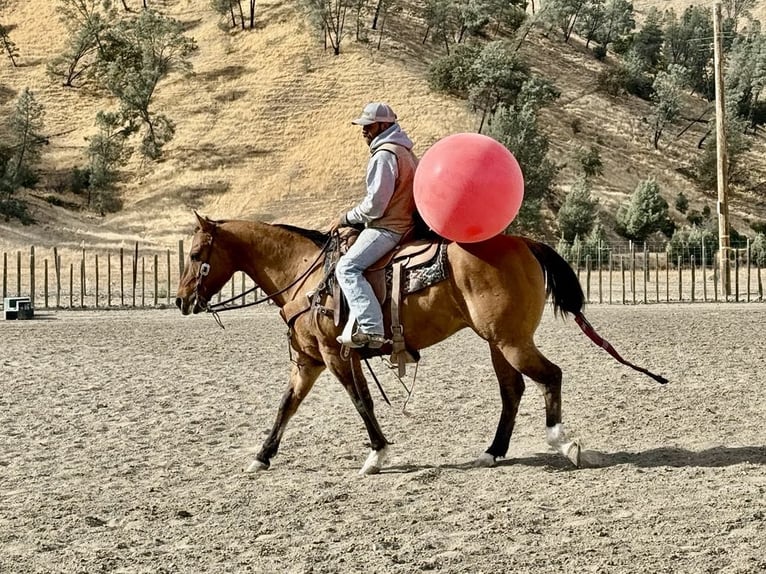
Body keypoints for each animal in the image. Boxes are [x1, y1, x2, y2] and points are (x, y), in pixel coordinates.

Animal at [175, 212, 666, 475]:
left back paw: (563, 444)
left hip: (510, 341)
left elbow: (362, 402)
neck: (305, 273)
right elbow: (286, 406)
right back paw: (493, 452)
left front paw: (377, 455)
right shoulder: (310, 361)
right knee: (513, 391)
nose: (181, 301)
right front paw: (261, 457)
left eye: (197, 255)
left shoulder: (335, 355)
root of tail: (525, 241)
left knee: (550, 377)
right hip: (499, 342)